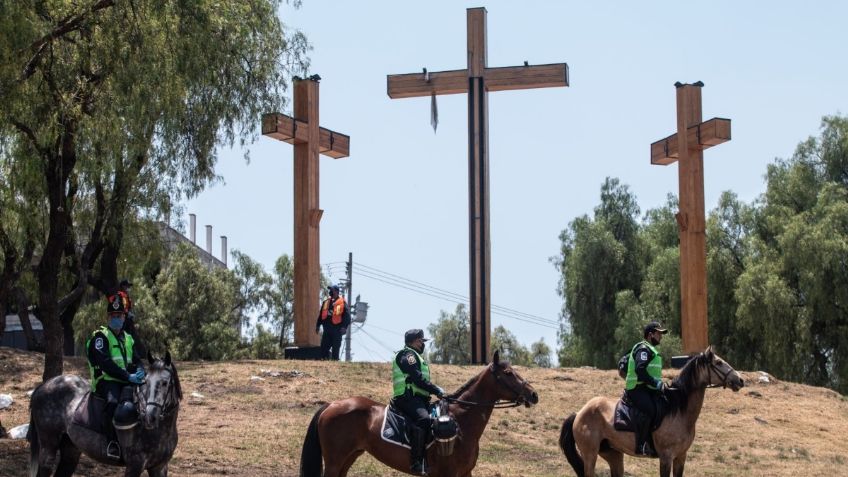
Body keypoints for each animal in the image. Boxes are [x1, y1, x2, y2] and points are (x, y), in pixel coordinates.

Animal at [28, 352, 182, 474]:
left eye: (165, 383)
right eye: (146, 382)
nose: (150, 417)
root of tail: (43, 386)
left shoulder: (160, 467)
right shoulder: (134, 466)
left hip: (71, 451)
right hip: (48, 448)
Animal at [298, 350, 536, 476]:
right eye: (508, 373)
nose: (533, 395)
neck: (461, 422)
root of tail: (331, 405)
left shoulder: (465, 473)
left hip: (349, 457)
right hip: (335, 461)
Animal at [560, 346, 744, 476]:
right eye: (718, 363)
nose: (740, 380)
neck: (678, 410)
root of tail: (579, 413)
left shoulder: (681, 456)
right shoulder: (666, 457)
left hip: (613, 455)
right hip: (590, 455)